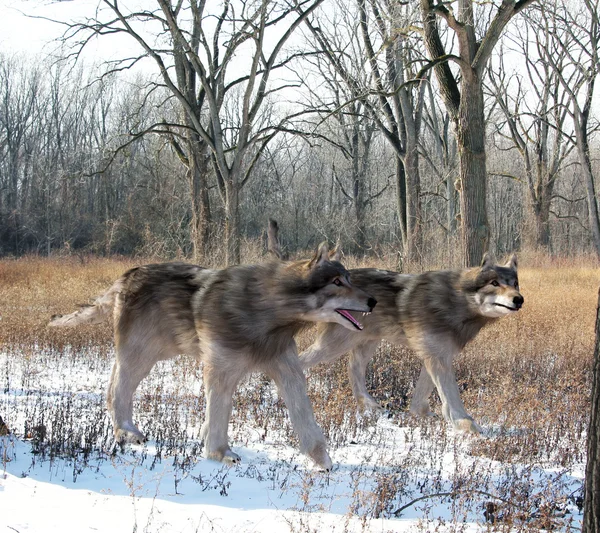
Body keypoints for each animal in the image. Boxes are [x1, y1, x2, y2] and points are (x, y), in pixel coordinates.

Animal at [49, 243, 376, 468]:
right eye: (337, 282)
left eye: (350, 278)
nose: (373, 301)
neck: (267, 311)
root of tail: (126, 275)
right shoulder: (219, 372)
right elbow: (219, 414)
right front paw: (220, 454)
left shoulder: (288, 371)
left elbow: (305, 417)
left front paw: (323, 461)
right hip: (141, 357)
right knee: (120, 390)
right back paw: (125, 433)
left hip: (150, 355)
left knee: (112, 385)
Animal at [302, 252, 524, 432]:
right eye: (494, 283)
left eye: (515, 284)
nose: (519, 299)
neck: (456, 302)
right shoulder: (437, 358)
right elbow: (452, 397)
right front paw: (466, 426)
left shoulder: (436, 355)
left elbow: (422, 394)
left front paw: (421, 416)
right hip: (333, 347)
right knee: (303, 359)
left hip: (366, 344)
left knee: (353, 368)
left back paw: (370, 407)